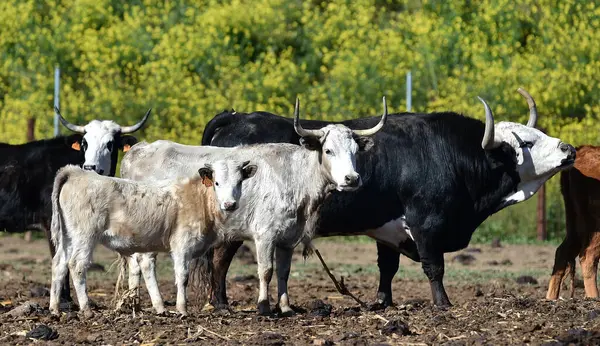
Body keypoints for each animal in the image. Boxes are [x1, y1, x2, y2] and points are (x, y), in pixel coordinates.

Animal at [199, 88, 576, 308]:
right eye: (526, 143)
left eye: (538, 134)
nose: (569, 149)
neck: (451, 153)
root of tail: (235, 117)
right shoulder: (426, 226)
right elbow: (434, 267)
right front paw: (443, 304)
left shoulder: (390, 230)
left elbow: (388, 268)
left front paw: (383, 303)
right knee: (219, 260)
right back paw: (220, 304)